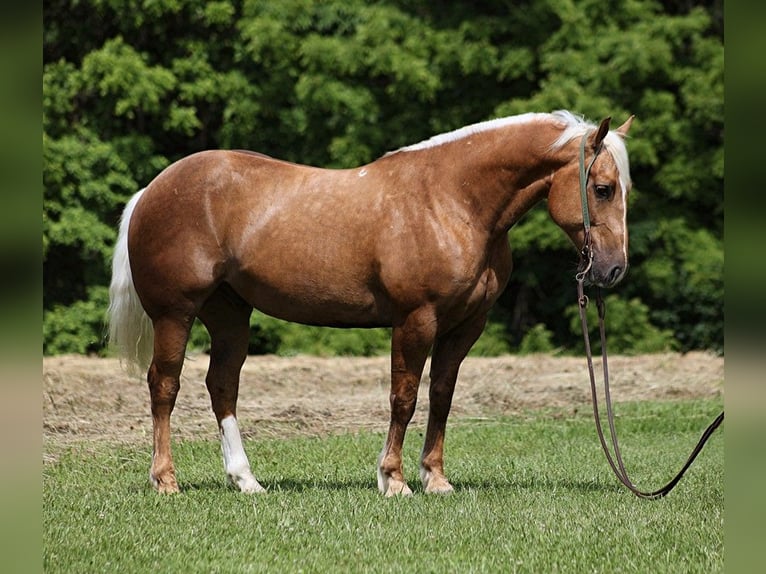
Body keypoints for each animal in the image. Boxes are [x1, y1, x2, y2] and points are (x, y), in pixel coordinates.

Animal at [108, 110, 633, 495]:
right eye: (602, 188)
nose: (612, 270)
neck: (451, 201)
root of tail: (152, 189)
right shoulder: (416, 319)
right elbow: (404, 397)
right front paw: (393, 480)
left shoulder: (465, 326)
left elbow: (441, 396)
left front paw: (436, 479)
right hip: (175, 314)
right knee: (164, 386)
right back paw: (166, 481)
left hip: (229, 315)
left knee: (222, 385)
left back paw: (246, 481)